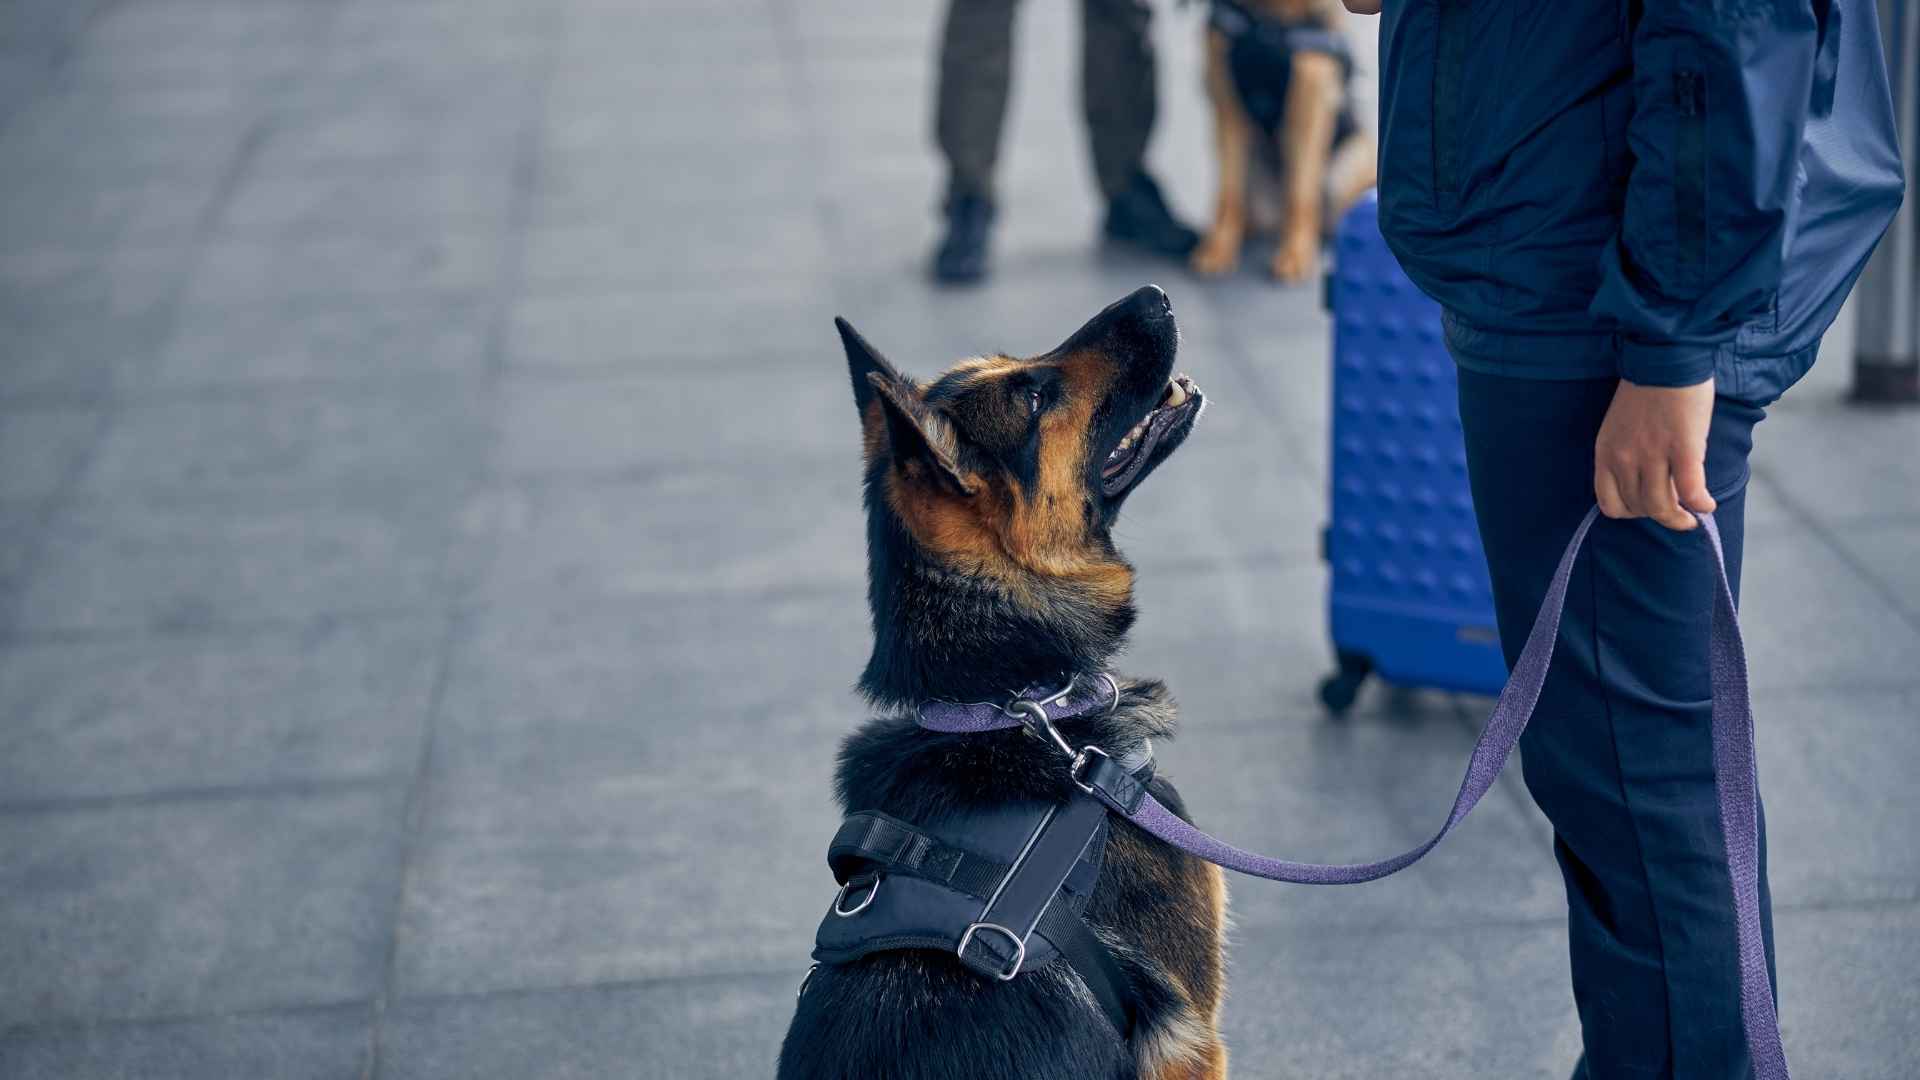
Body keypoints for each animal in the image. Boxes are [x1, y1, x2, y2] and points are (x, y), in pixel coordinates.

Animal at [1190, 0, 1374, 282]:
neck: (1270, 18)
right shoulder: (1227, 107)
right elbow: (1228, 193)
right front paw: (1219, 247)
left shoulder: (1308, 107)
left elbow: (1299, 194)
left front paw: (1295, 254)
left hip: (1354, 160)